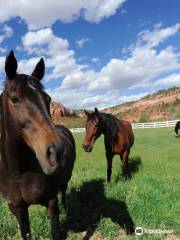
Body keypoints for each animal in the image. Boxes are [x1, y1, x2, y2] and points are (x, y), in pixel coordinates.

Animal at [0, 51, 75, 240]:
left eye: (47, 99)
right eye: (15, 99)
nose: (56, 153)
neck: (18, 173)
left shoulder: (51, 202)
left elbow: (55, 231)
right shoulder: (18, 210)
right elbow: (25, 232)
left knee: (64, 192)